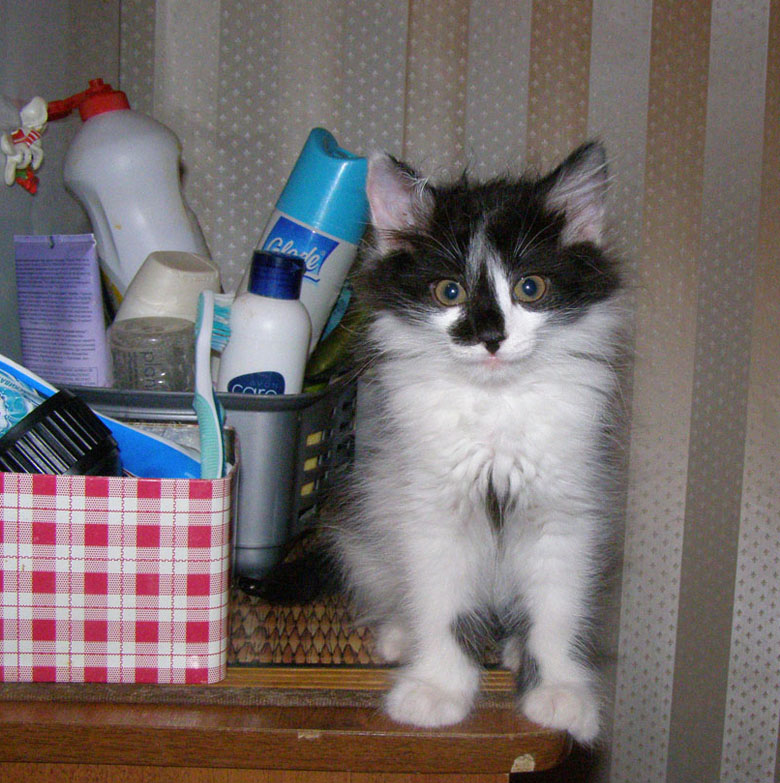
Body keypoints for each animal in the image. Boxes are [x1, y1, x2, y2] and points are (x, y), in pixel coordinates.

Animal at [271, 142, 625, 744]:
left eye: (530, 288)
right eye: (449, 291)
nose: (490, 337)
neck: (497, 413)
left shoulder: (564, 515)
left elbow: (556, 613)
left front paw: (559, 691)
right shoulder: (434, 515)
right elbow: (443, 608)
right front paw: (437, 689)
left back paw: (512, 648)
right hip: (365, 532)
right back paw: (399, 634)